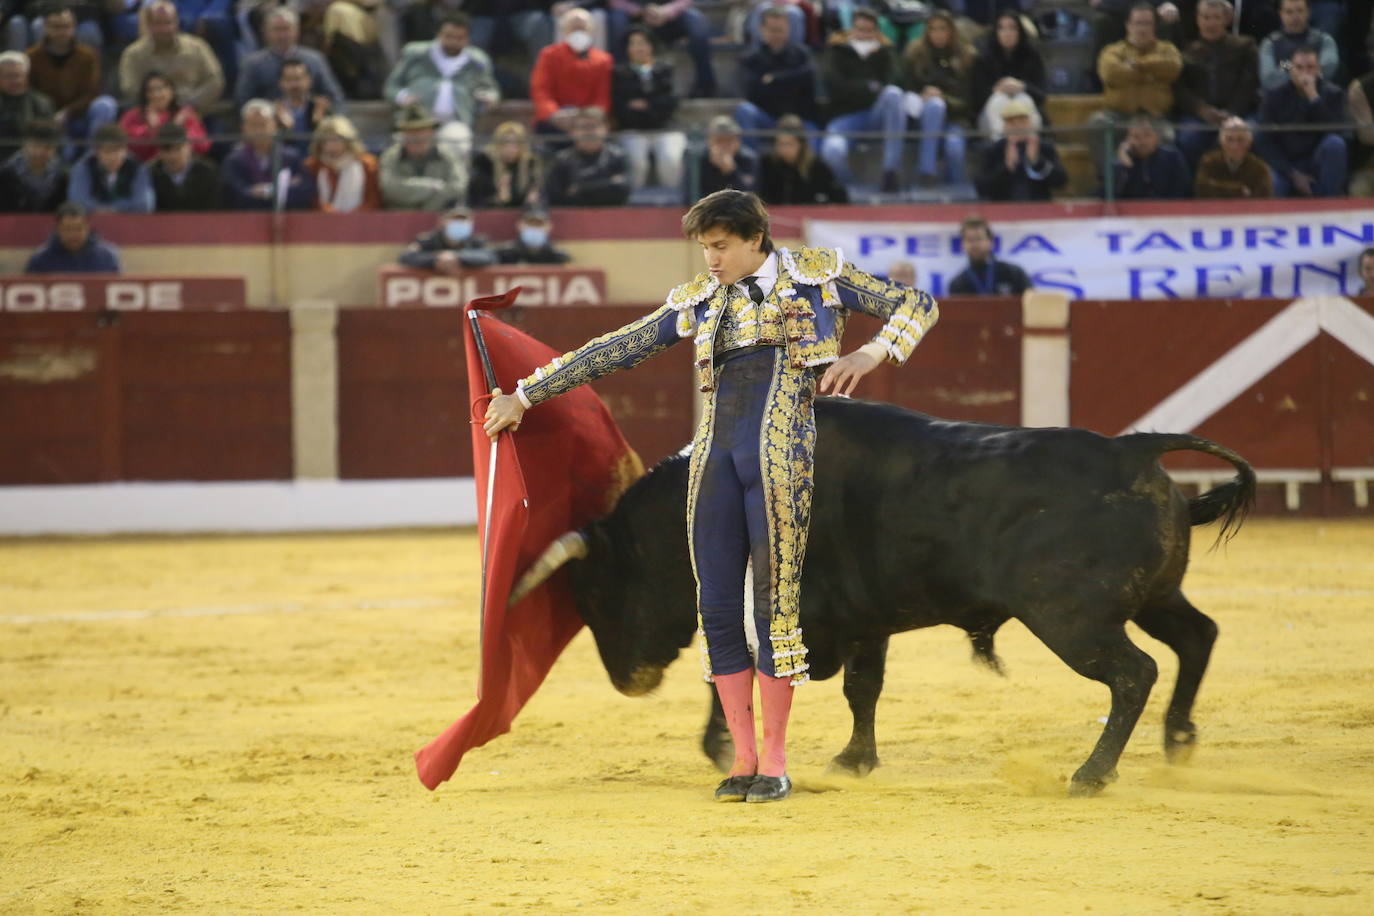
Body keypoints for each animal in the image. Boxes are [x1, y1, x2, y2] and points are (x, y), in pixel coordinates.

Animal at [513, 398, 1258, 796]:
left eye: (599, 596)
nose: (628, 682)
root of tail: (1135, 451)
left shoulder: (793, 618)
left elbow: (744, 673)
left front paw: (725, 751)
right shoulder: (864, 621)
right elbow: (862, 689)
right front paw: (853, 761)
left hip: (1070, 618)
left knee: (1134, 674)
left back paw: (1092, 773)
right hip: (1153, 597)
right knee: (1198, 637)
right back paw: (1179, 740)